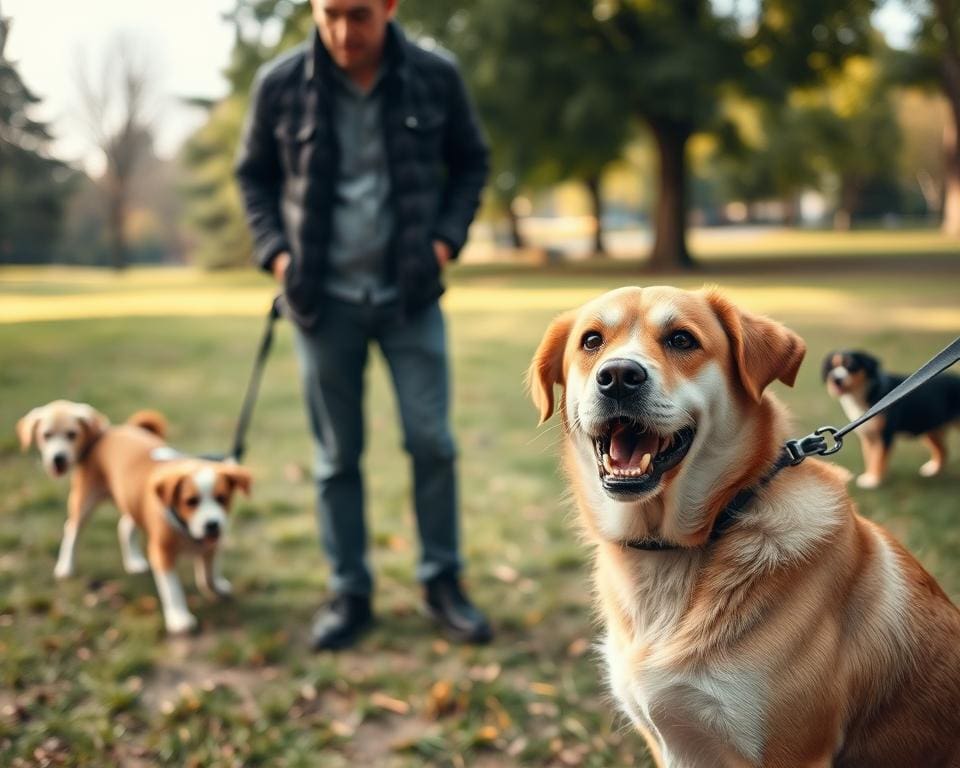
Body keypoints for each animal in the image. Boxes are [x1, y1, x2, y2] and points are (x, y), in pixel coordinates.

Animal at [17, 400, 251, 632]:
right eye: (191, 501)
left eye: (222, 498)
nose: (212, 524)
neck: (187, 530)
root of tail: (111, 431)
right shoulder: (162, 553)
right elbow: (173, 588)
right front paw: (179, 618)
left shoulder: (213, 543)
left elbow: (210, 571)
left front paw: (216, 586)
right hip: (84, 498)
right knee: (72, 528)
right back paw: (66, 566)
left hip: (131, 501)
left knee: (124, 526)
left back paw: (134, 561)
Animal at [820, 352, 960, 488]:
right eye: (830, 368)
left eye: (851, 365)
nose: (836, 379)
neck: (864, 396)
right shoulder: (868, 436)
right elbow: (869, 456)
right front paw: (869, 475)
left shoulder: (885, 435)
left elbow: (878, 457)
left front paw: (874, 480)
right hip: (930, 429)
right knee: (943, 450)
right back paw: (933, 469)